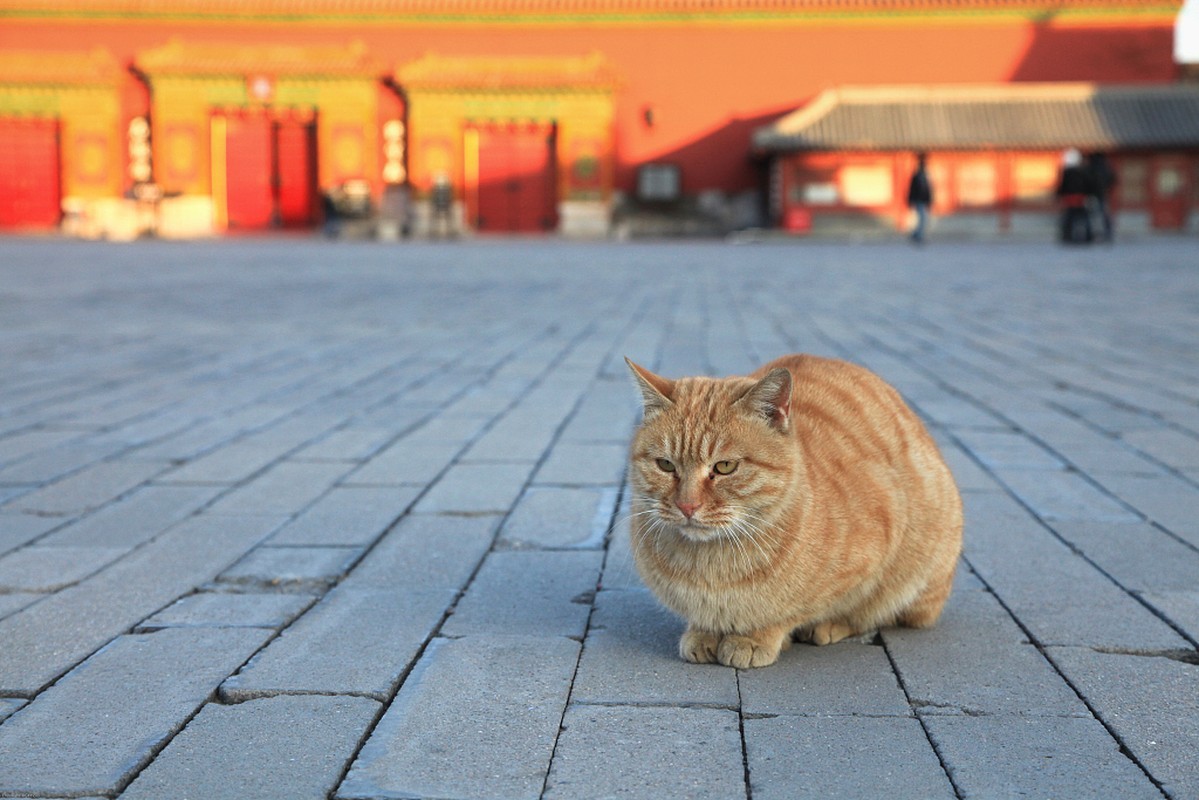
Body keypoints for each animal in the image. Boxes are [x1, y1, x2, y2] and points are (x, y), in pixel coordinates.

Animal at [623, 355, 959, 671]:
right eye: (666, 465)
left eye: (725, 467)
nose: (687, 506)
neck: (710, 565)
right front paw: (704, 632)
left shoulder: (875, 547)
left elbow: (796, 611)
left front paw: (756, 638)